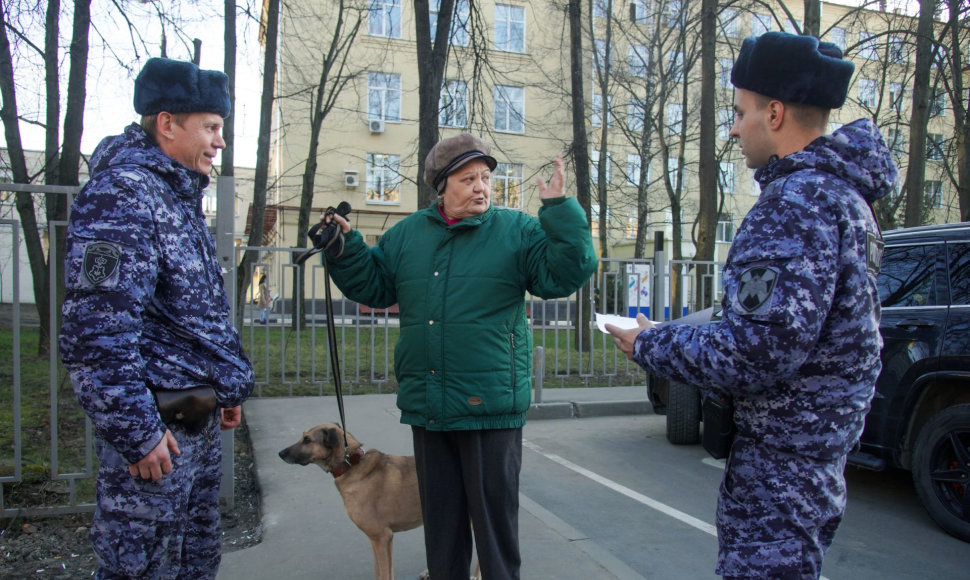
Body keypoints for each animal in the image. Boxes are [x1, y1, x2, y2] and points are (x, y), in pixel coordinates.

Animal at [278, 424, 478, 580]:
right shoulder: (375, 540)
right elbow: (379, 572)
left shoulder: (382, 537)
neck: (351, 464)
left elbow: (385, 573)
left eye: (307, 440)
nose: (280, 453)